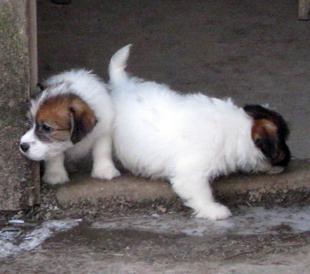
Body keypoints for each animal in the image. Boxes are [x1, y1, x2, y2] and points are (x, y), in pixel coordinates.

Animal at [108, 45, 290, 220]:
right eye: (283, 142)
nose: (288, 161)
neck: (239, 130)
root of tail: (123, 86)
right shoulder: (191, 173)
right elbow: (202, 193)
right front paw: (214, 210)